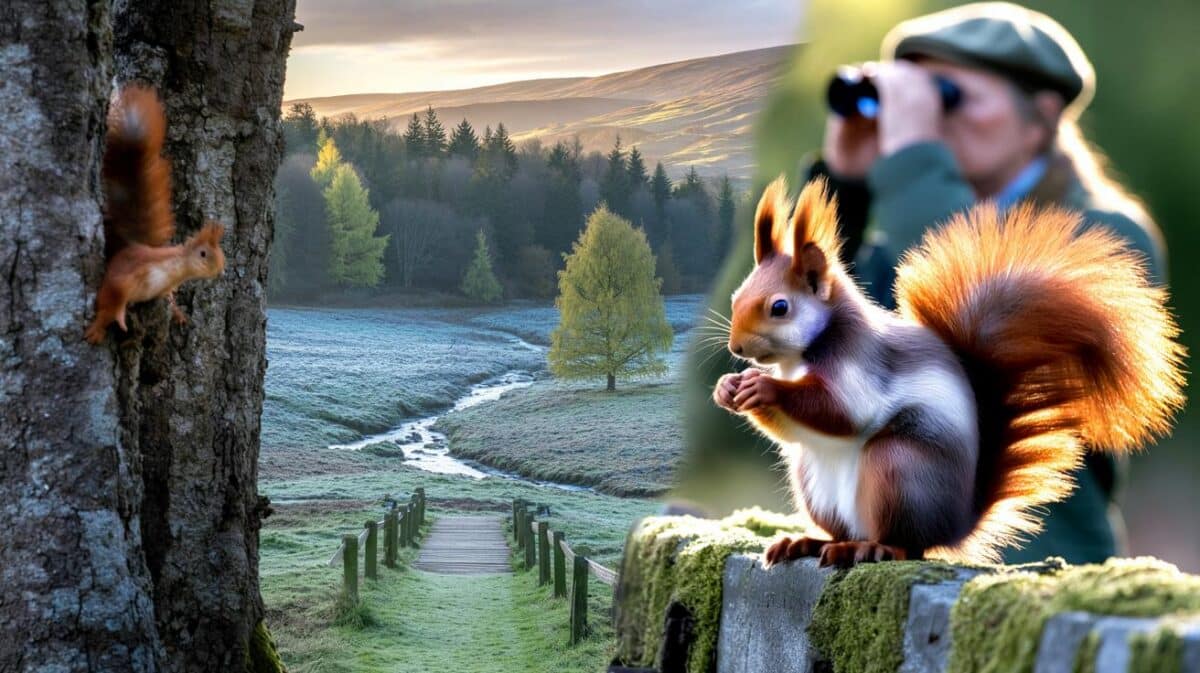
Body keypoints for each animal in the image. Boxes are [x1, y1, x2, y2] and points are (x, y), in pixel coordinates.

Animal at [85, 85, 226, 345]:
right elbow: (113, 295)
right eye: (203, 253)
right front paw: (106, 323)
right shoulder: (130, 273)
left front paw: (179, 314)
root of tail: (129, 244)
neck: (175, 271)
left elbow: (170, 298)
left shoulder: (165, 288)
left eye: (222, 255)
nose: (219, 271)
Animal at [713, 176, 1185, 567]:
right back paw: (809, 542)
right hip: (815, 483)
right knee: (840, 529)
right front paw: (728, 388)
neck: (801, 358)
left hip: (899, 470)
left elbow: (843, 413)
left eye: (780, 307)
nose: (737, 348)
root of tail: (957, 523)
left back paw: (872, 548)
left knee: (908, 544)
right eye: (737, 297)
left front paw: (764, 388)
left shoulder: (859, 364)